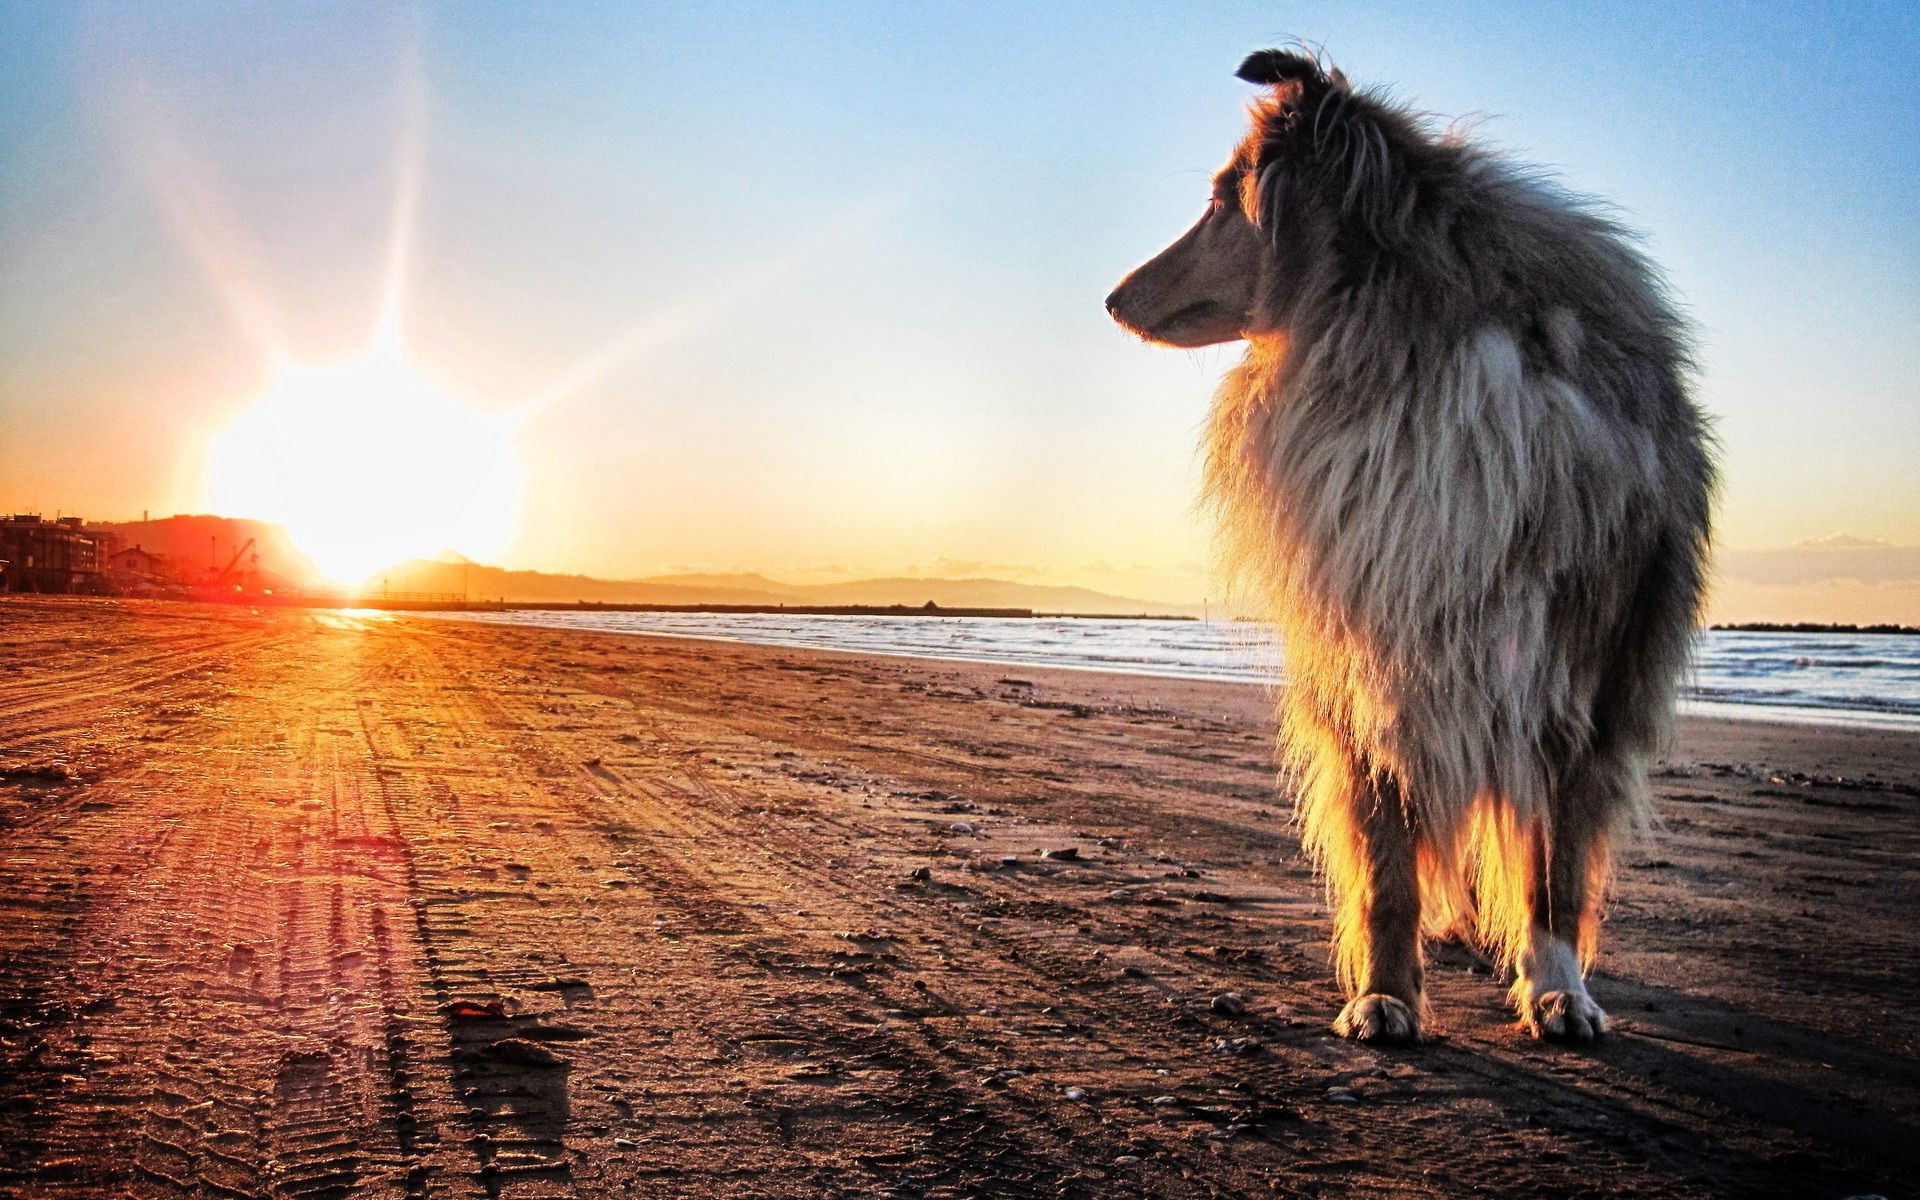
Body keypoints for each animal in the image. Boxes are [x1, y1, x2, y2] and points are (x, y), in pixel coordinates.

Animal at [1105, 46, 1720, 1036]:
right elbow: (1388, 862)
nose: (1113, 299)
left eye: (1222, 199)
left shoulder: (1571, 679)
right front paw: (1385, 995)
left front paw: (1558, 989)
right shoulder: (1373, 658)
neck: (1398, 363)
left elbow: (1553, 866)